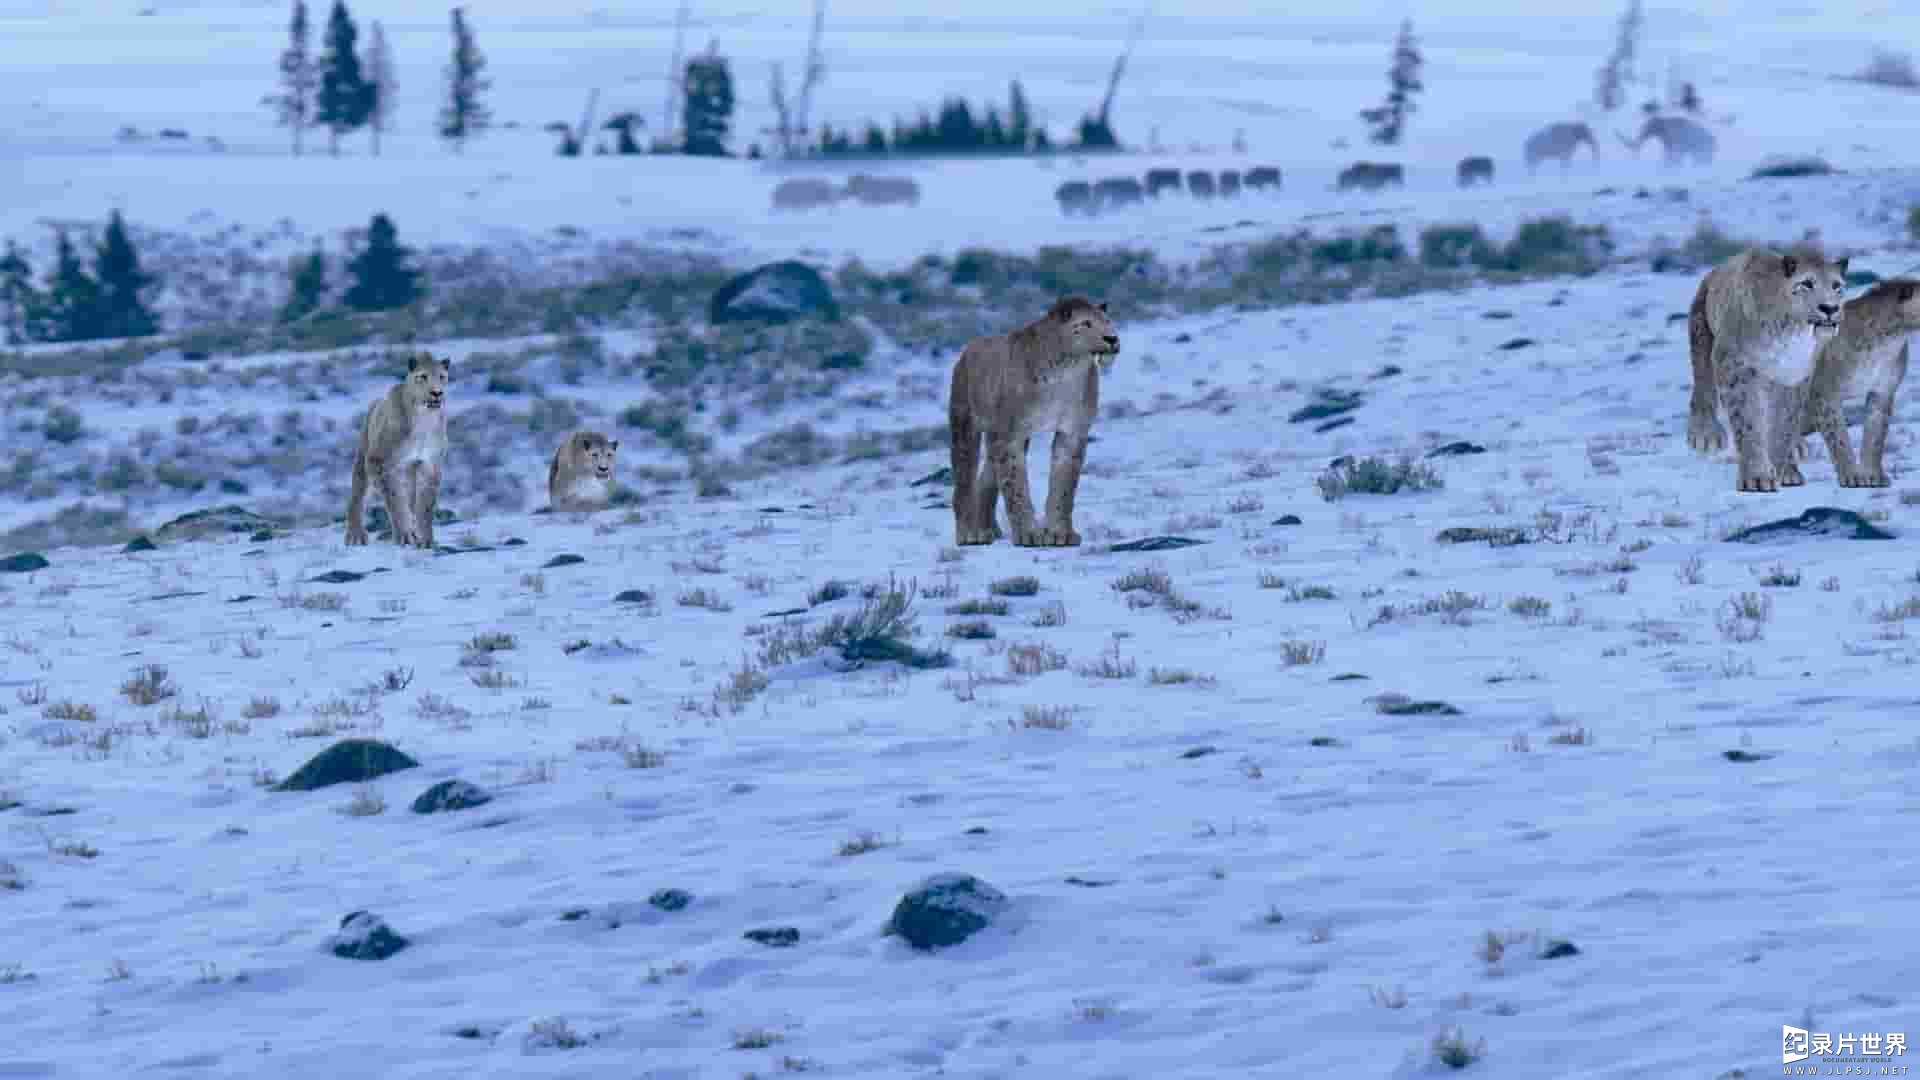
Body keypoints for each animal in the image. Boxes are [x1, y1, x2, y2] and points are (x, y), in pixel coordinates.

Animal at [345, 351, 449, 545]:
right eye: (423, 376)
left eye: (442, 376)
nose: (436, 393)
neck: (424, 419)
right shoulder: (379, 462)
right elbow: (395, 499)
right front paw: (405, 534)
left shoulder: (429, 465)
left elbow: (426, 505)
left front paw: (426, 539)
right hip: (363, 461)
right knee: (358, 496)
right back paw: (355, 535)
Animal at [948, 294, 1121, 545]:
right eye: (1086, 323)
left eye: (1107, 321)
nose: (1112, 338)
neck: (1068, 369)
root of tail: (967, 350)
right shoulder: (1009, 436)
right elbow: (1015, 486)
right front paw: (1028, 535)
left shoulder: (1071, 432)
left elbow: (1064, 486)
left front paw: (1060, 534)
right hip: (966, 427)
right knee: (964, 479)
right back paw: (969, 533)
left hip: (1001, 438)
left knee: (986, 477)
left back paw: (988, 529)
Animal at [1689, 245, 1850, 490]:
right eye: (1807, 283)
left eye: (1836, 286)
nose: (1830, 308)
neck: (1792, 334)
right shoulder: (1735, 366)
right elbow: (1747, 421)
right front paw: (1756, 477)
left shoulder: (1794, 376)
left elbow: (1783, 425)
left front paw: (1783, 470)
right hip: (1703, 338)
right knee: (1702, 384)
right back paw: (1705, 434)